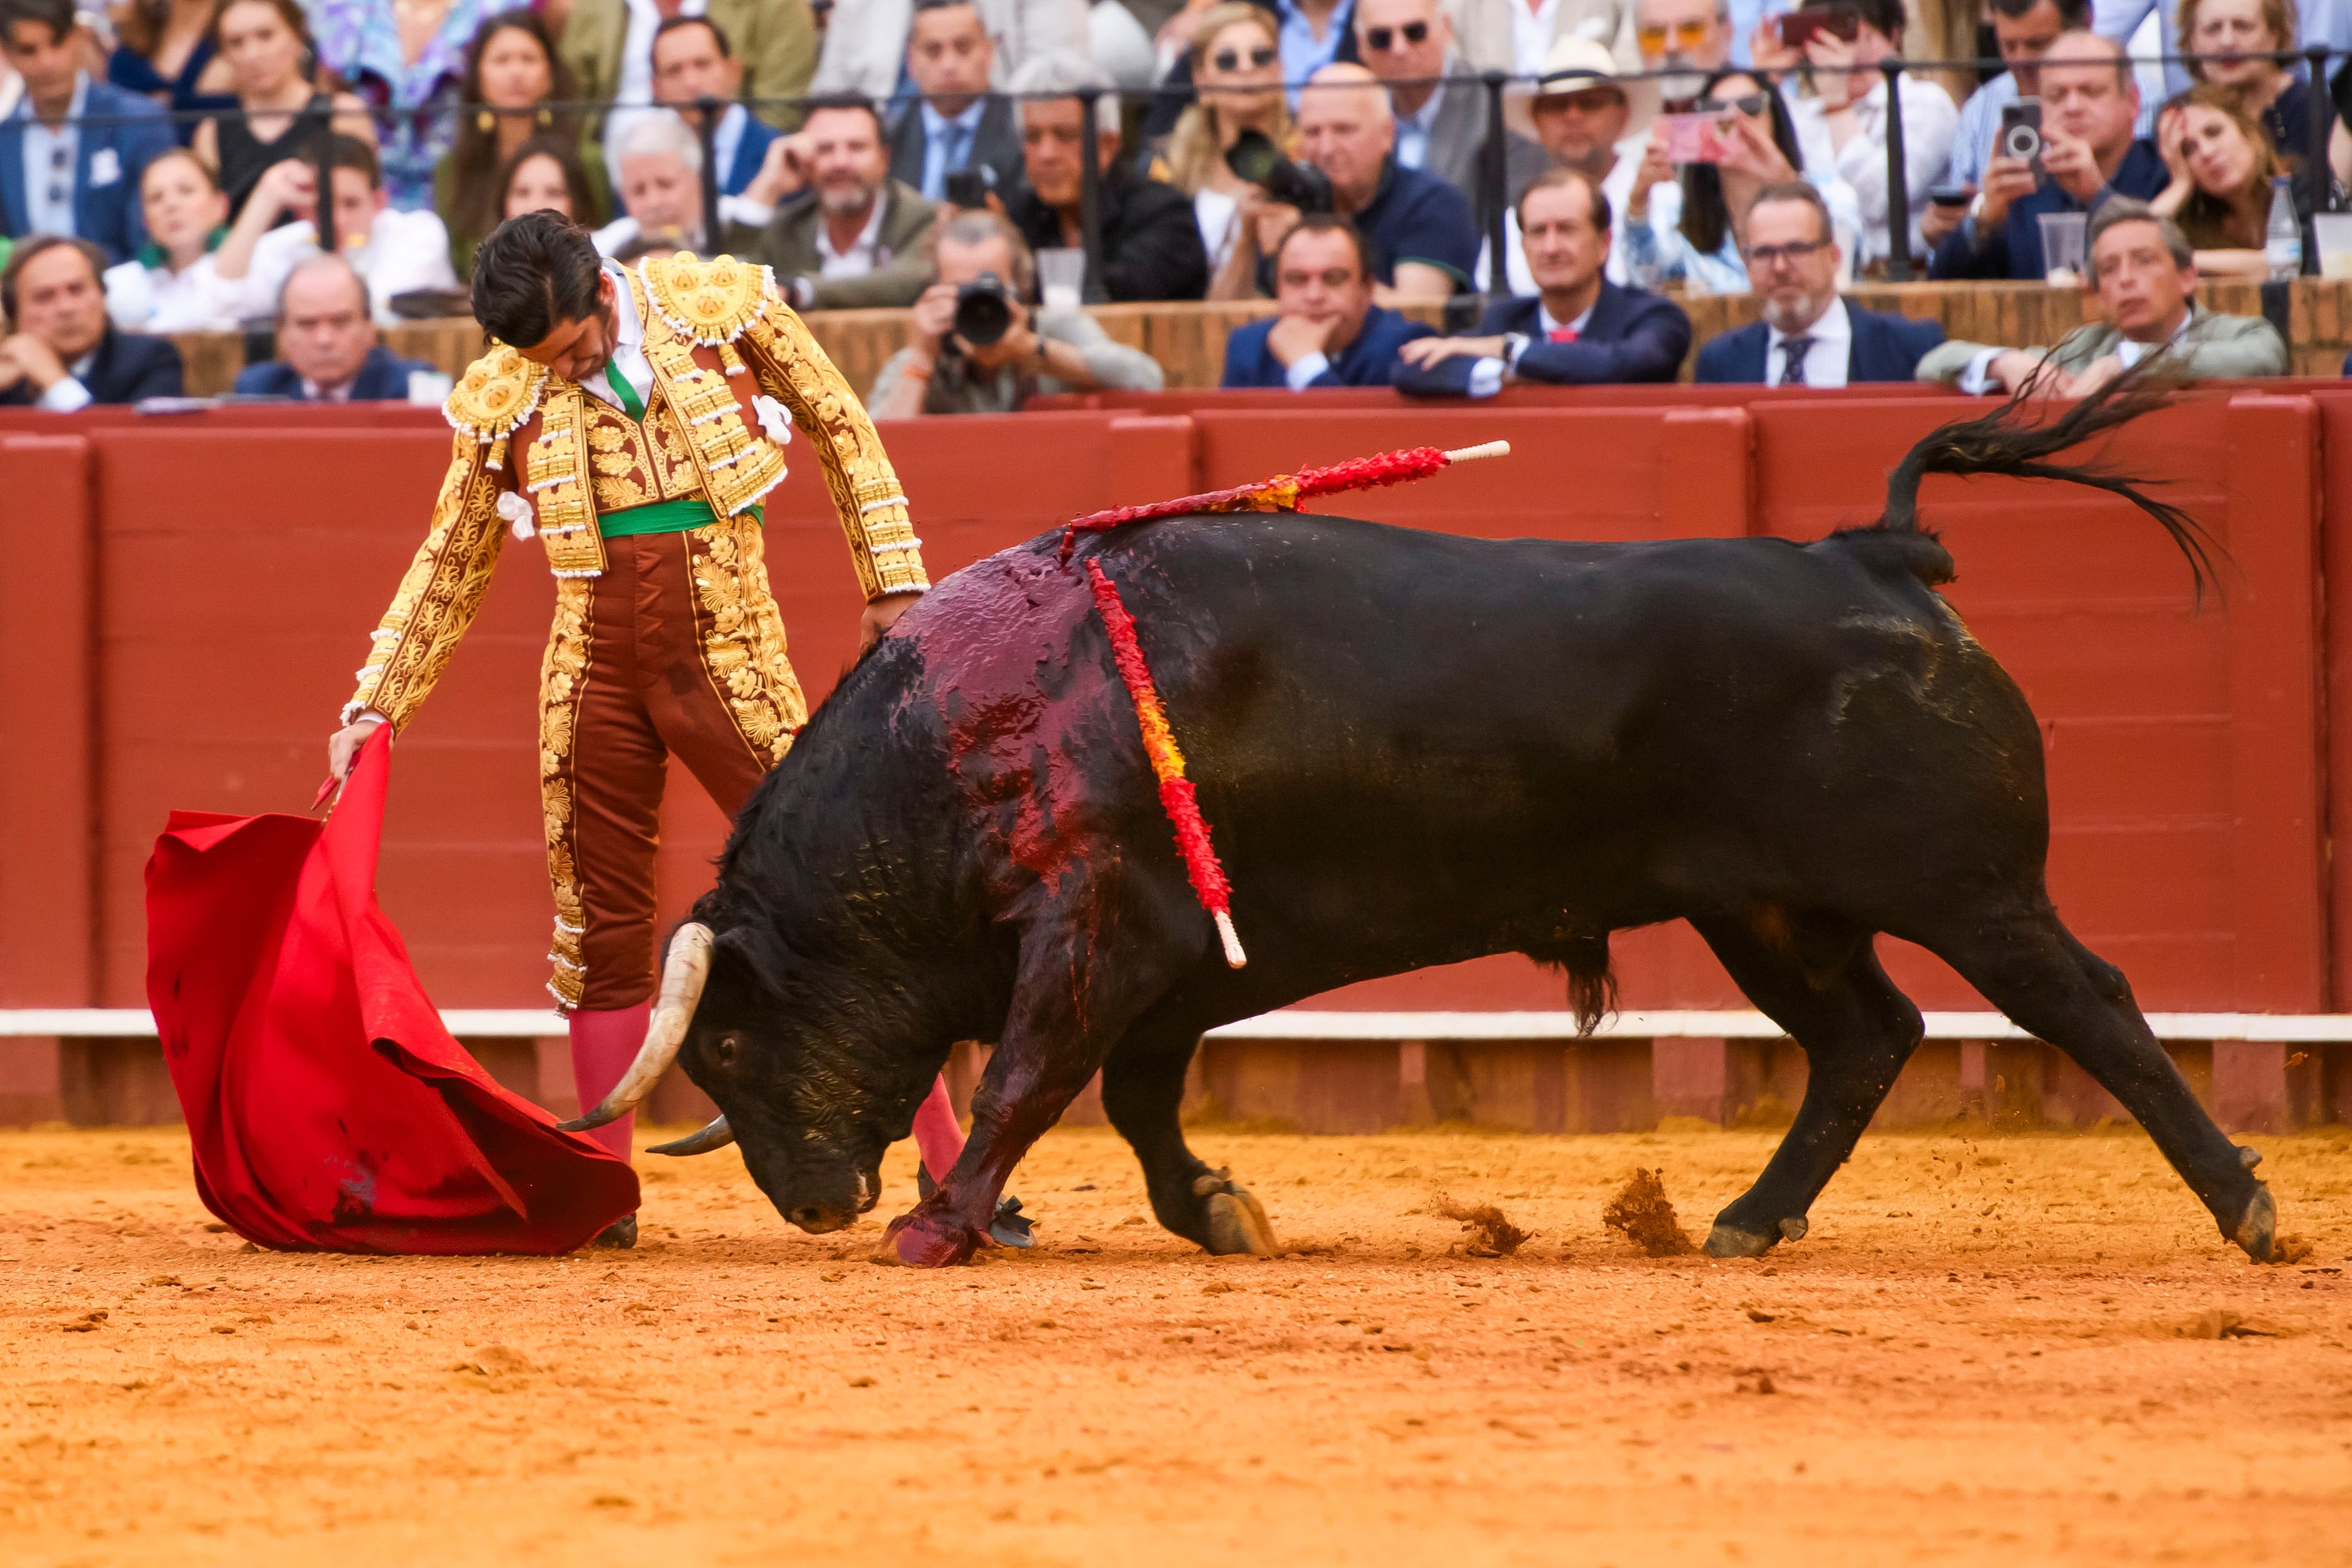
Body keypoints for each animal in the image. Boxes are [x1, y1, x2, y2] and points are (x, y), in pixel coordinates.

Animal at [588, 385, 2276, 1269]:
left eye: (726, 1041)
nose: (816, 1202)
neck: (972, 723)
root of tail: (1870, 553)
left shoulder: (1093, 927)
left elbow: (1023, 1076)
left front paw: (940, 1228)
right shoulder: (1166, 958)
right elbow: (1132, 1097)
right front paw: (1218, 1211)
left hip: (1967, 886)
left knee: (2087, 1007)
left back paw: (2248, 1207)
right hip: (1764, 911)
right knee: (1866, 1035)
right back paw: (1742, 1219)